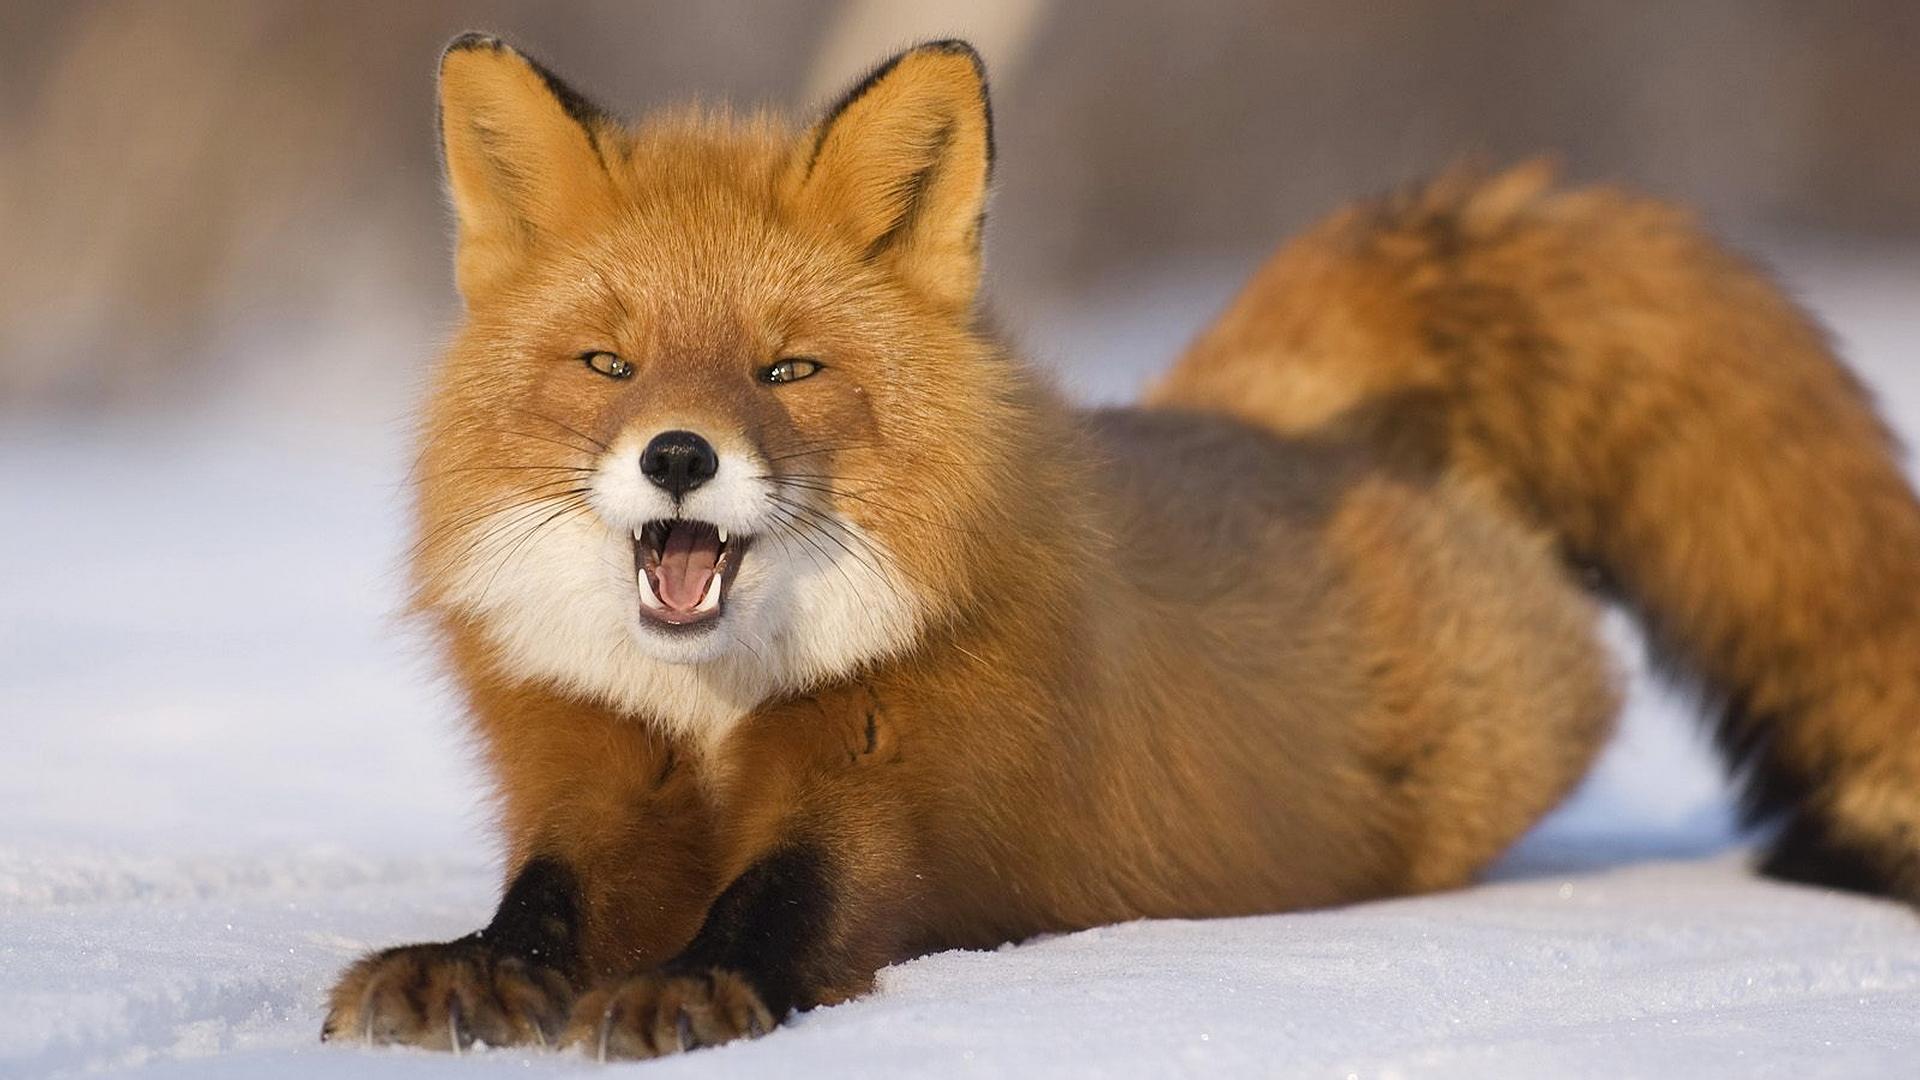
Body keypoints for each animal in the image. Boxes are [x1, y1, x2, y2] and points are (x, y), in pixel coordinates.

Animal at [323, 35, 1920, 1059]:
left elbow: (786, 904)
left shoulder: (900, 786)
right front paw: (474, 973)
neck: (716, 708)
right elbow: (548, 900)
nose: (677, 456)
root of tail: (1270, 418)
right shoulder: (591, 767)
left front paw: (692, 990)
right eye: (608, 364)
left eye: (787, 371)